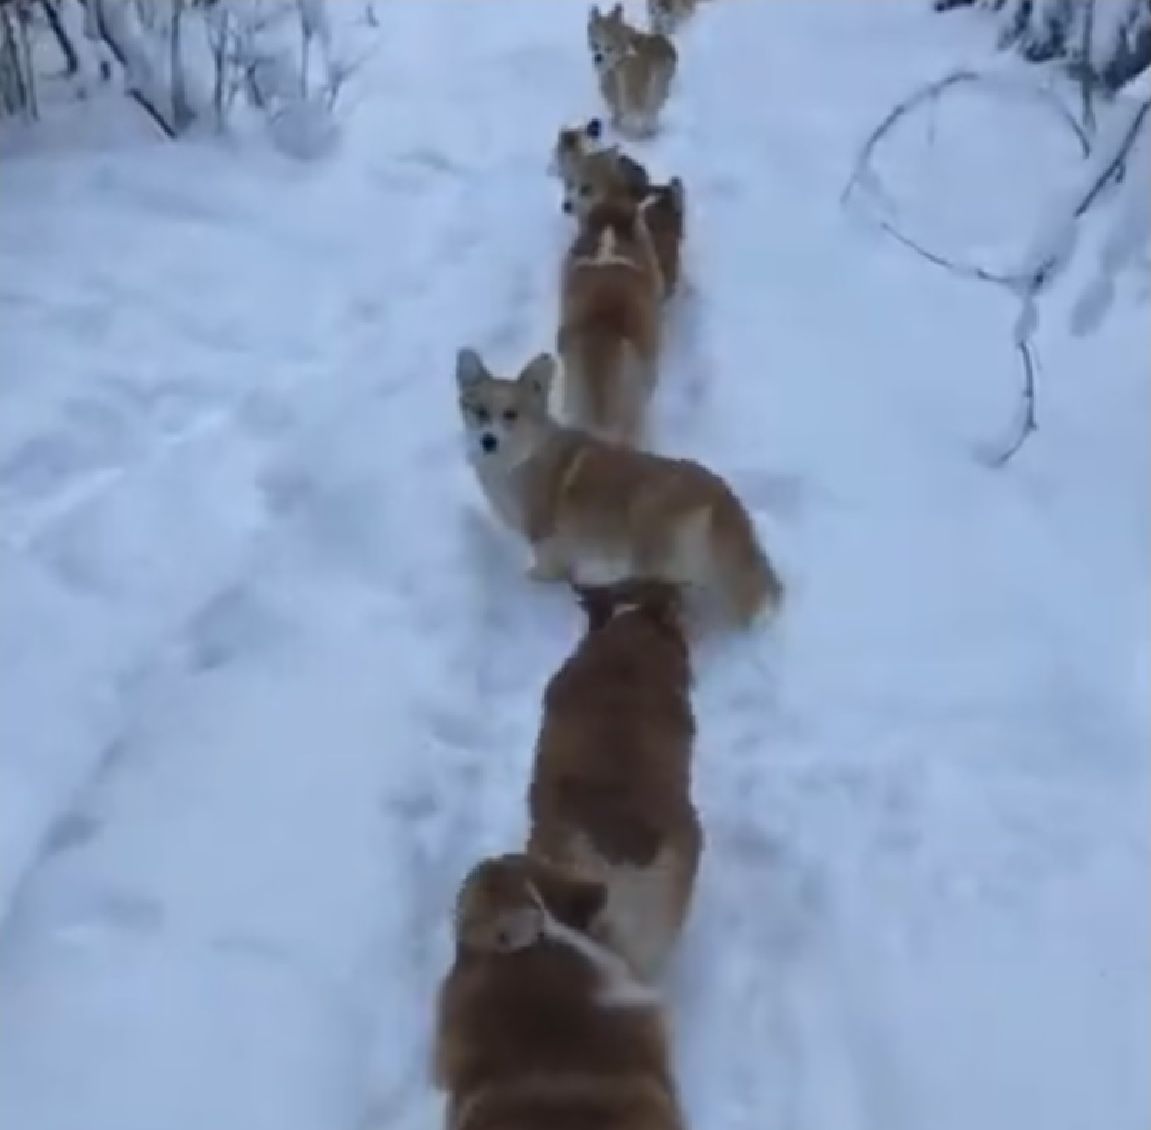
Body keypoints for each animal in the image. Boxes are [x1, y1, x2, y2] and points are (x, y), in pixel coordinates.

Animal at [448, 349, 782, 621]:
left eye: (511, 415)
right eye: (480, 412)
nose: (488, 441)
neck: (520, 458)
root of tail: (725, 500)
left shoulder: (544, 532)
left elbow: (546, 566)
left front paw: (534, 584)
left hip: (651, 531)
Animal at [589, 2, 676, 136]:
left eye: (608, 48)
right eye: (595, 45)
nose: (598, 57)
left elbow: (616, 109)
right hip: (659, 90)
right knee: (651, 115)